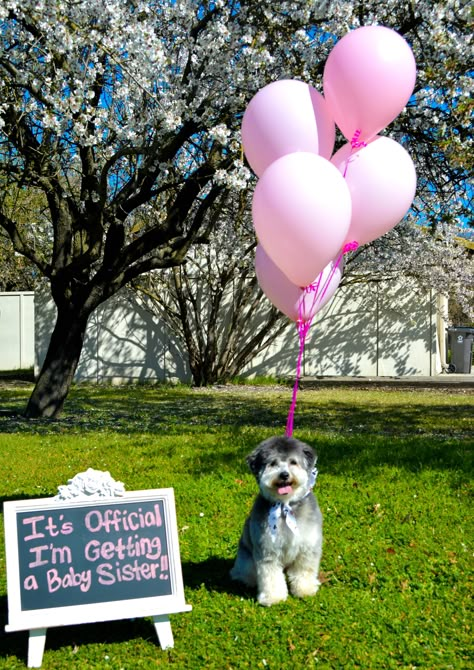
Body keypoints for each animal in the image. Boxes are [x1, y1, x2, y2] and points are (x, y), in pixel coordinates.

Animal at [230, 436, 322, 608]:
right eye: (272, 463)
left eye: (293, 462)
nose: (284, 475)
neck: (285, 504)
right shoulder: (267, 550)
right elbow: (270, 577)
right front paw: (273, 597)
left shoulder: (307, 547)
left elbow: (304, 570)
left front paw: (305, 589)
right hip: (246, 561)